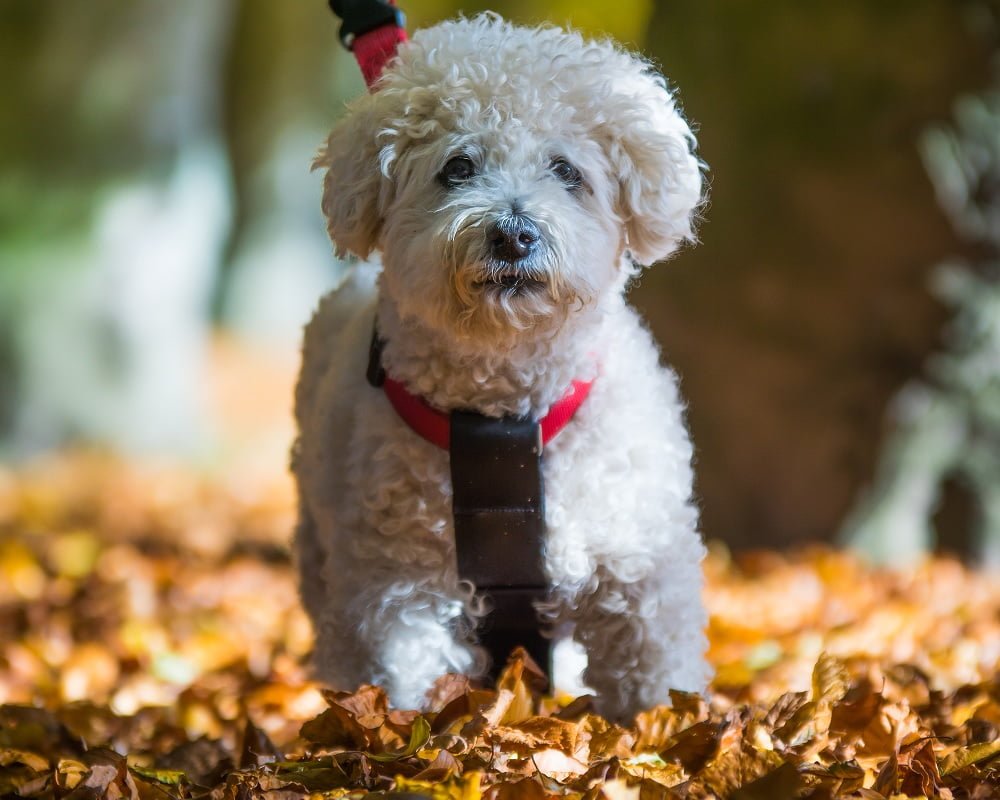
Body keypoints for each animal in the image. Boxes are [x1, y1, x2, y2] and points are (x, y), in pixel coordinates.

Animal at [292, 12, 712, 720]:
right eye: (458, 167)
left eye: (566, 171)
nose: (513, 234)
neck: (504, 412)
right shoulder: (392, 589)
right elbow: (392, 680)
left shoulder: (639, 568)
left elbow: (655, 682)